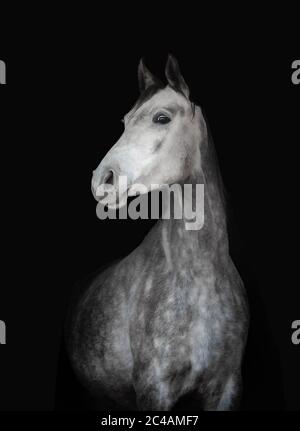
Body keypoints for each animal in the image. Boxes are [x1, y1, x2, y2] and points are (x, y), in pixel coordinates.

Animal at [67, 54, 248, 412]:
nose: (102, 180)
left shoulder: (227, 387)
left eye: (161, 118)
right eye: (125, 122)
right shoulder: (154, 388)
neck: (199, 279)